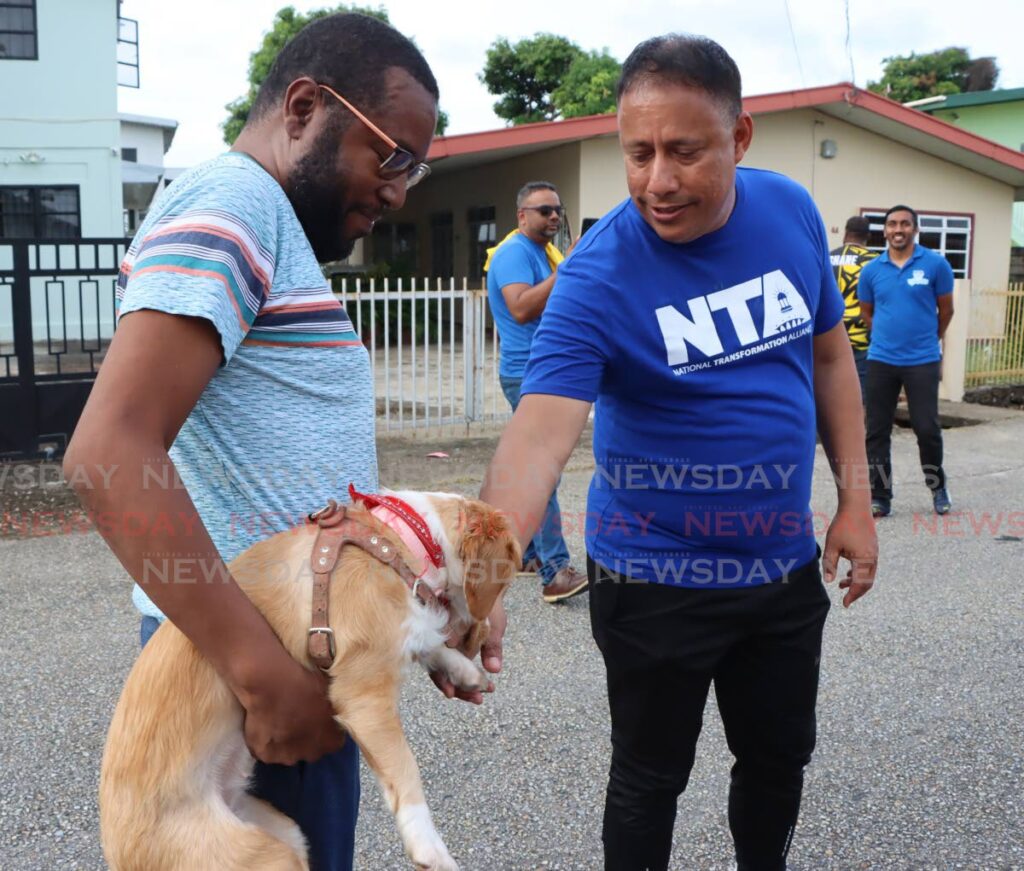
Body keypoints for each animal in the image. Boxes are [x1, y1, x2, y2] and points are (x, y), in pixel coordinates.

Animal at [97, 491, 520, 871]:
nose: (482, 641)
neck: (397, 539)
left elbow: (425, 642)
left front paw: (462, 669)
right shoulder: (363, 698)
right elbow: (405, 769)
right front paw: (429, 846)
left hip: (282, 831)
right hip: (262, 858)